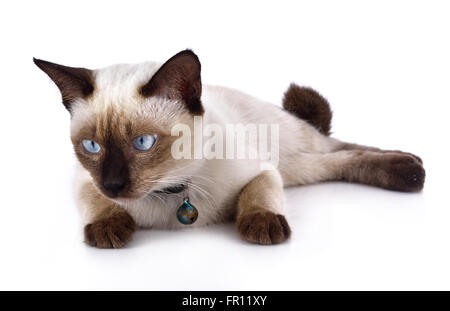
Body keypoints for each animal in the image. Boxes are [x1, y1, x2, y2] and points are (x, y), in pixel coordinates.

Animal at [34, 50, 426, 250]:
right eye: (92, 146)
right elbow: (96, 203)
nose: (114, 185)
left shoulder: (263, 171)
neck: (172, 192)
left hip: (291, 156)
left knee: (342, 148)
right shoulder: (84, 181)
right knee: (336, 157)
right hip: (298, 168)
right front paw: (109, 227)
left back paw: (411, 168)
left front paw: (262, 225)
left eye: (143, 143)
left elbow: (258, 197)